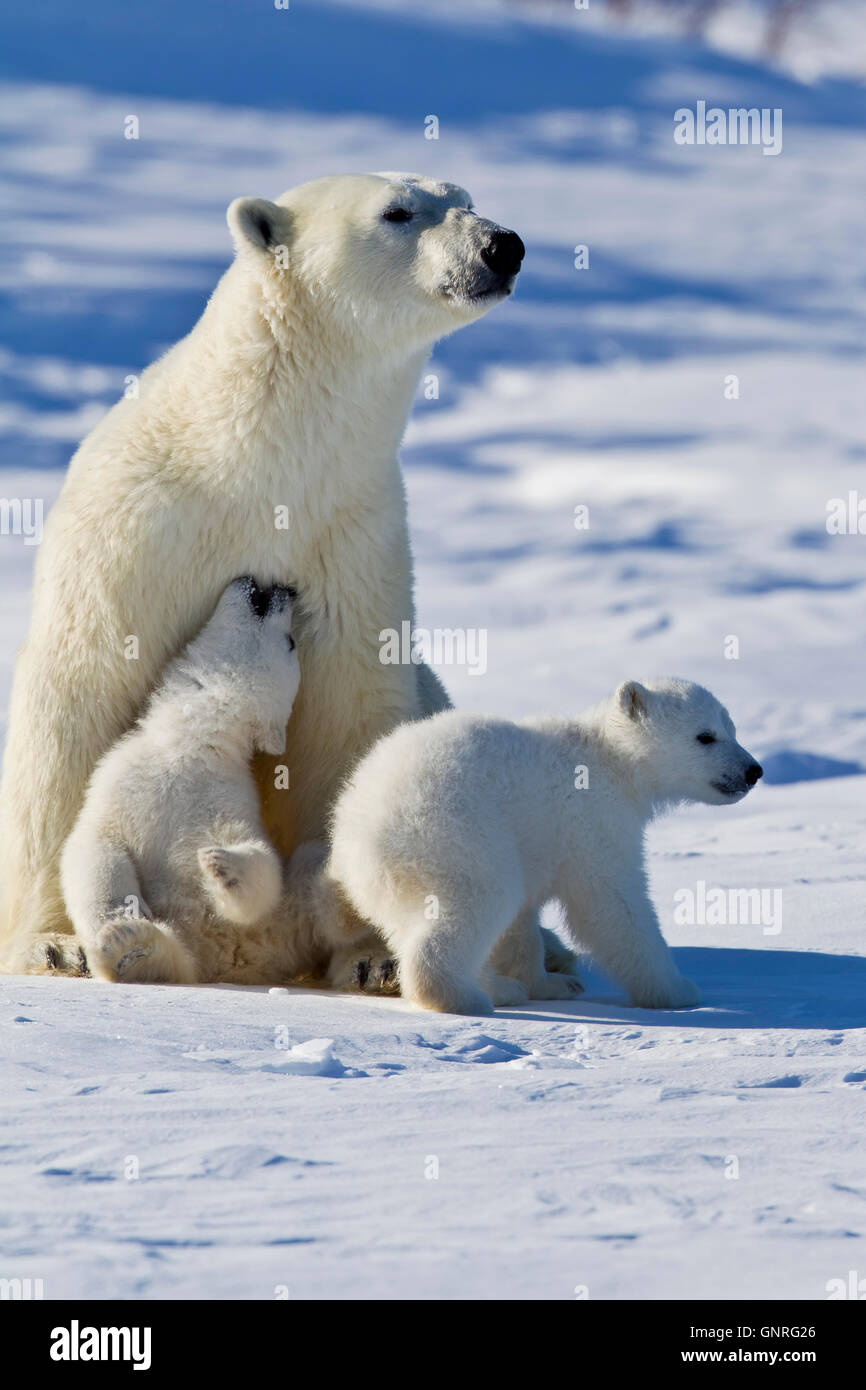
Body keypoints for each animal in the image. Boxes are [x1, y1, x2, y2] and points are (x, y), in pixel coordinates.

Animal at [1, 173, 575, 995]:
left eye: (464, 194)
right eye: (399, 210)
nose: (504, 245)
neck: (259, 461)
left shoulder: (350, 538)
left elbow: (350, 710)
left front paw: (373, 956)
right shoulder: (139, 527)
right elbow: (81, 698)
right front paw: (57, 945)